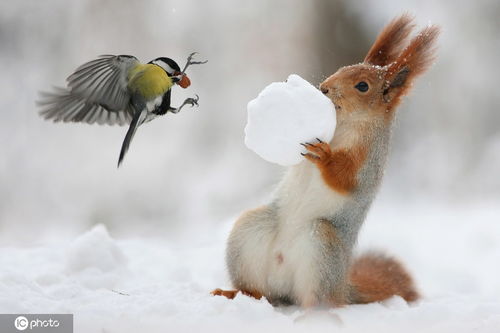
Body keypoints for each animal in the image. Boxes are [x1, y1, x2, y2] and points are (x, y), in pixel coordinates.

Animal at [213, 14, 440, 306]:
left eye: (363, 86)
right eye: (342, 68)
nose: (323, 88)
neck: (344, 125)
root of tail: (343, 286)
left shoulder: (368, 160)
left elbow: (346, 177)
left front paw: (325, 156)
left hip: (321, 247)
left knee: (320, 300)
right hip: (250, 232)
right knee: (258, 291)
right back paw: (234, 293)